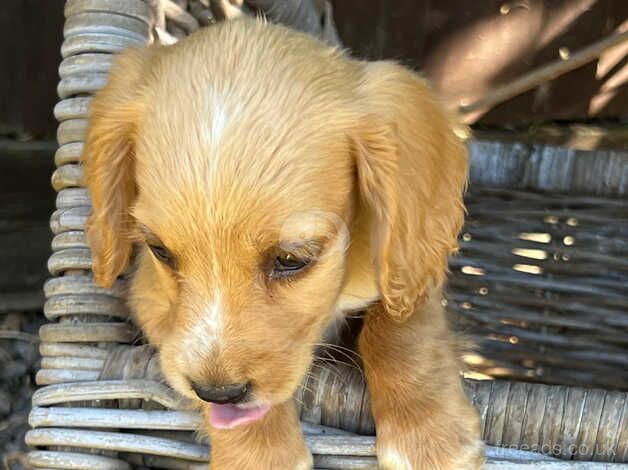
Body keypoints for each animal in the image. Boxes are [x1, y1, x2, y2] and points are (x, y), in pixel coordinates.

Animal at [83, 16, 484, 468]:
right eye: (160, 252)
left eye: (292, 259)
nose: (219, 392)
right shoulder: (149, 298)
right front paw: (259, 453)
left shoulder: (409, 267)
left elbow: (401, 329)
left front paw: (429, 435)